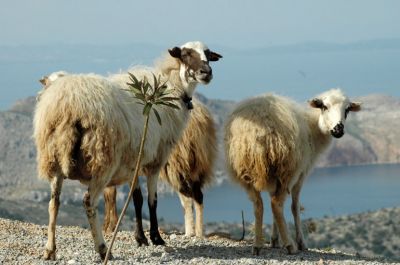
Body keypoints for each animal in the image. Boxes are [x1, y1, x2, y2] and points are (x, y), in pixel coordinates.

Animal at [103, 96, 216, 237]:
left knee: (188, 198)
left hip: (176, 164)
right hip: (195, 166)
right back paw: (199, 233)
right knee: (197, 196)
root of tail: (200, 119)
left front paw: (109, 228)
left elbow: (109, 195)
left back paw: (190, 233)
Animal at [223, 88, 360, 254]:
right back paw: (290, 245)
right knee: (276, 204)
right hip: (287, 169)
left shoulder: (272, 178)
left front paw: (274, 240)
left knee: (259, 205)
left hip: (245, 169)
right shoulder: (301, 174)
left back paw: (257, 245)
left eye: (347, 110)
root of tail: (257, 131)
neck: (313, 128)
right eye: (324, 106)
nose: (338, 130)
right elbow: (294, 207)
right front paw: (301, 243)